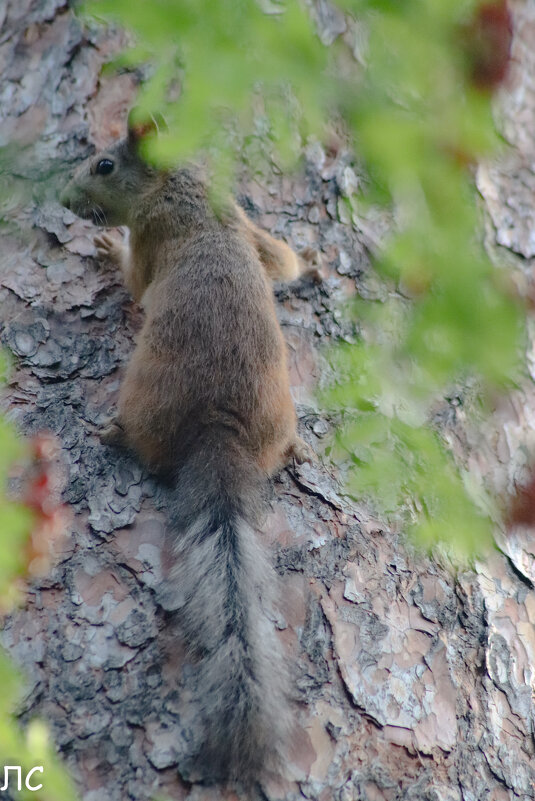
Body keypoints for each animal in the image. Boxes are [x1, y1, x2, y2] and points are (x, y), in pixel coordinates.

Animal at [60, 109, 314, 784]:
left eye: (104, 165)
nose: (64, 200)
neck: (179, 183)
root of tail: (217, 430)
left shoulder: (152, 237)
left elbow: (133, 279)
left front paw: (105, 249)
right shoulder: (247, 223)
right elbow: (283, 260)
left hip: (147, 397)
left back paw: (116, 434)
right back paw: (294, 448)